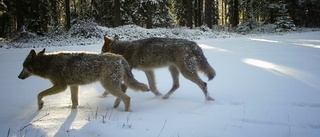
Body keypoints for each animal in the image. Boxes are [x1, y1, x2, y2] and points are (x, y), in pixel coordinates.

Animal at [16, 48, 148, 111]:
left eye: (23, 66)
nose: (18, 77)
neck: (48, 64)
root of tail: (120, 58)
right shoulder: (73, 86)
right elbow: (74, 102)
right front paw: (73, 113)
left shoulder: (61, 87)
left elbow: (39, 94)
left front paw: (40, 105)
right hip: (112, 85)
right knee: (125, 92)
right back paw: (116, 105)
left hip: (109, 86)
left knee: (127, 98)